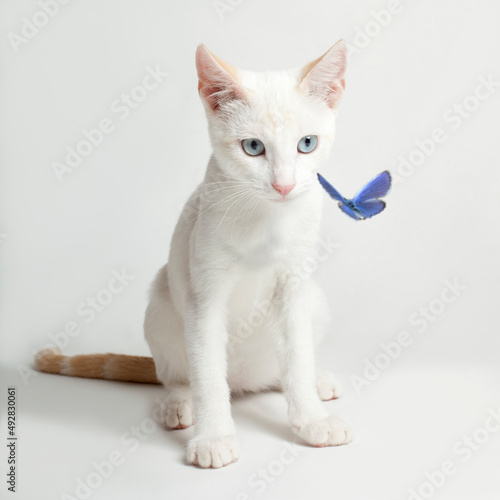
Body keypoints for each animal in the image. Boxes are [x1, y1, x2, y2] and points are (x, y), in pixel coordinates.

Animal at [35, 41, 352, 466]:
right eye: (253, 147)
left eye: (307, 144)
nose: (284, 186)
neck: (266, 217)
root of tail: (246, 382)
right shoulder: (204, 294)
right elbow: (207, 374)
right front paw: (214, 437)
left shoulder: (294, 284)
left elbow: (297, 357)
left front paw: (311, 420)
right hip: (160, 303)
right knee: (176, 375)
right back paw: (177, 405)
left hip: (315, 299)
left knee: (281, 369)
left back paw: (316, 381)